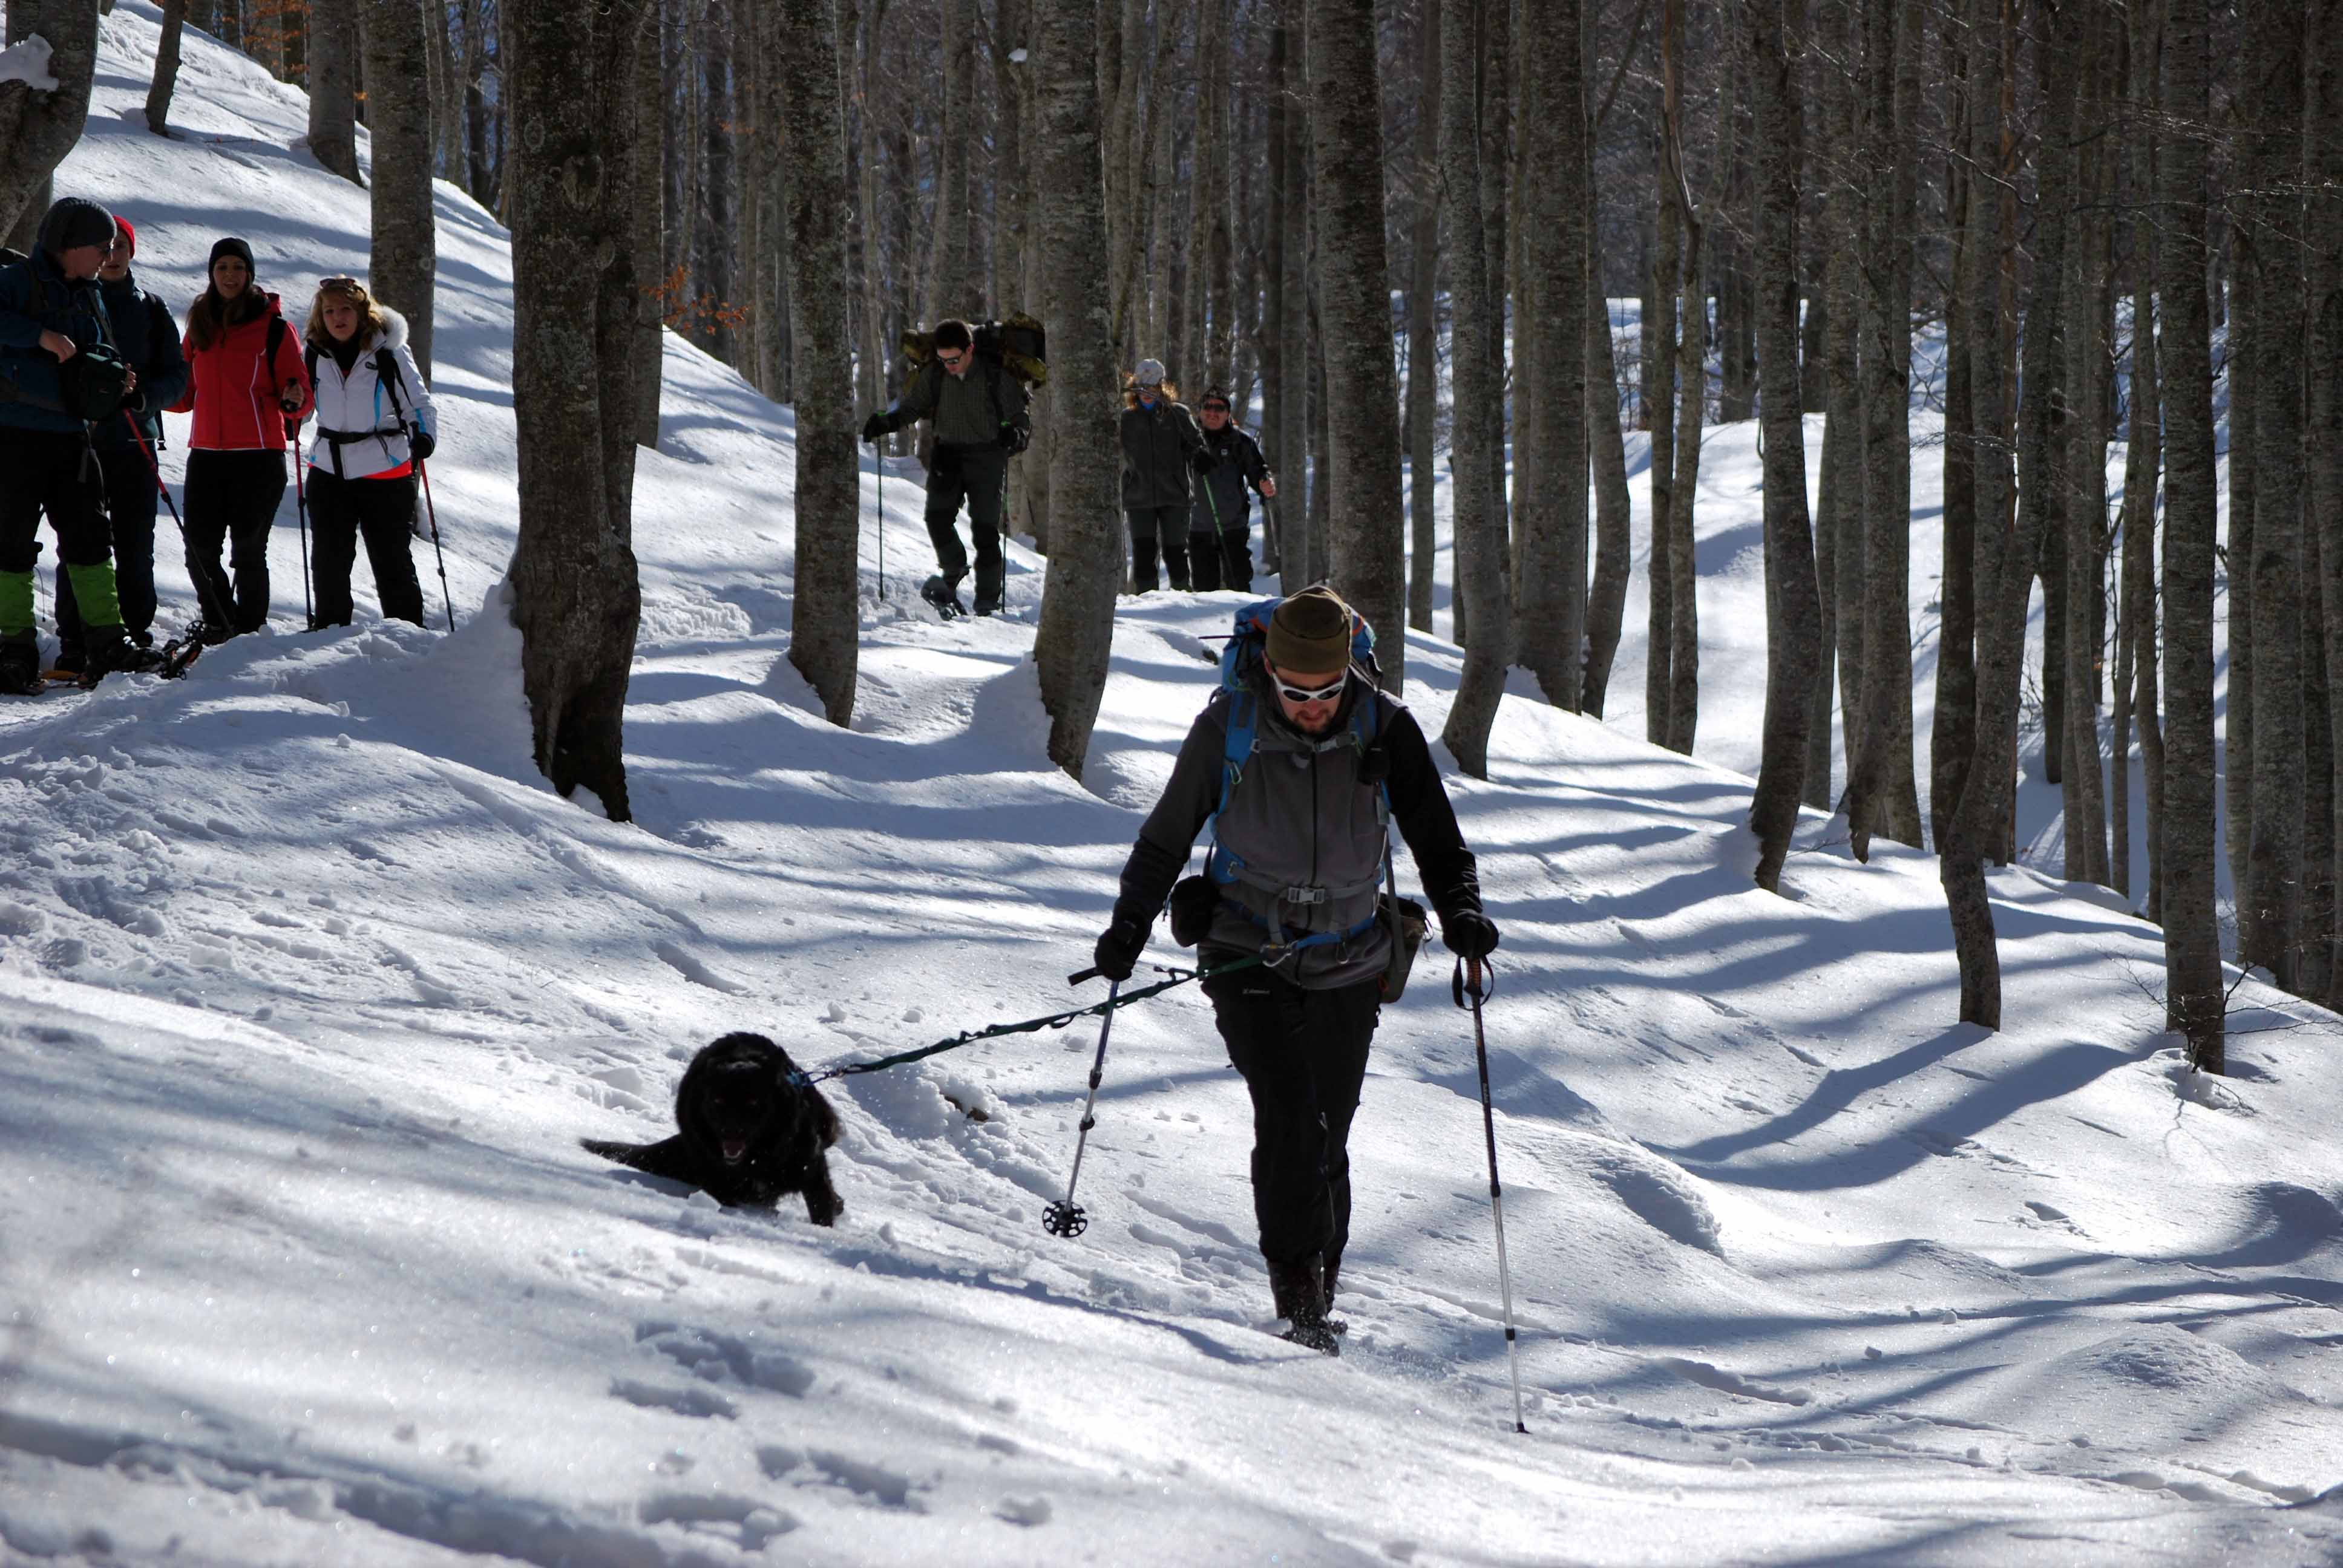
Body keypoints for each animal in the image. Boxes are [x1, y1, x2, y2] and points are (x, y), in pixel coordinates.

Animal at [581, 1027, 848, 1218]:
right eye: (718, 1101)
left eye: (753, 1102)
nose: (730, 1131)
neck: (755, 1158)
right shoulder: (715, 1175)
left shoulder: (810, 1167)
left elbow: (821, 1206)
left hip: (827, 1125)